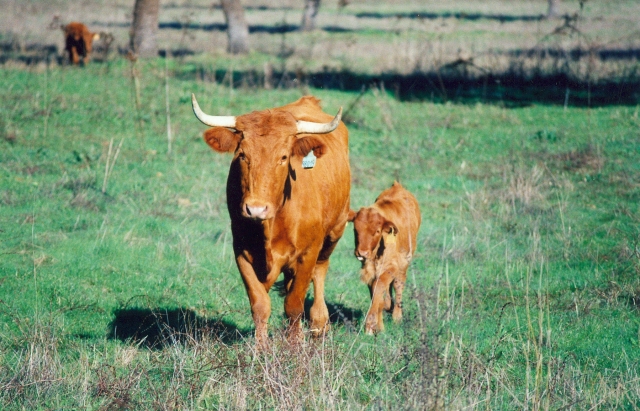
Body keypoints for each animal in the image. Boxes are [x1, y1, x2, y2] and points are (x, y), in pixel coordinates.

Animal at [191, 94, 350, 348]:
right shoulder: (242, 252)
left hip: (335, 231)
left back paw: (319, 323)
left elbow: (294, 304)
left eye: (283, 157)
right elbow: (260, 304)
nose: (255, 208)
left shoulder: (308, 253)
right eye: (243, 155)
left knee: (320, 272)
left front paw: (295, 347)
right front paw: (261, 347)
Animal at [350, 183, 420, 334]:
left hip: (404, 264)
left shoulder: (392, 267)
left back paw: (397, 316)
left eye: (377, 231)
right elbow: (375, 292)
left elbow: (380, 287)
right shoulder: (369, 270)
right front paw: (379, 324)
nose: (362, 252)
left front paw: (371, 325)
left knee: (398, 285)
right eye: (355, 229)